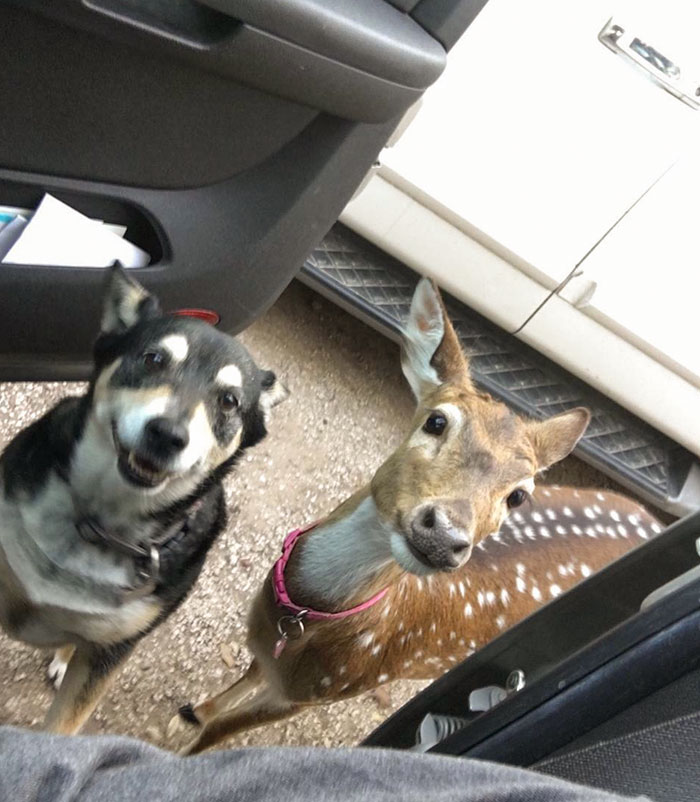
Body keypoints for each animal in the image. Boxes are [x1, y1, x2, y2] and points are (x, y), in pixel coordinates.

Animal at [173, 278, 662, 754]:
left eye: (519, 496)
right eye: (437, 421)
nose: (444, 535)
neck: (305, 615)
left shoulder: (320, 690)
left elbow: (217, 735)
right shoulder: (268, 652)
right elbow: (239, 685)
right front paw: (195, 710)